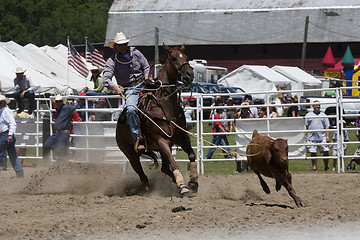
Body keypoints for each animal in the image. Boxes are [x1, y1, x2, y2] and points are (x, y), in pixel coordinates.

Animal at [116, 43, 198, 195]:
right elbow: (174, 163)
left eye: (186, 57)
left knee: (164, 168)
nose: (189, 74)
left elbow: (191, 155)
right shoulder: (162, 140)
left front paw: (193, 182)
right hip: (130, 153)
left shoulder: (181, 137)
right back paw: (147, 187)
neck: (165, 106)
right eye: (173, 58)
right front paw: (183, 187)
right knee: (141, 172)